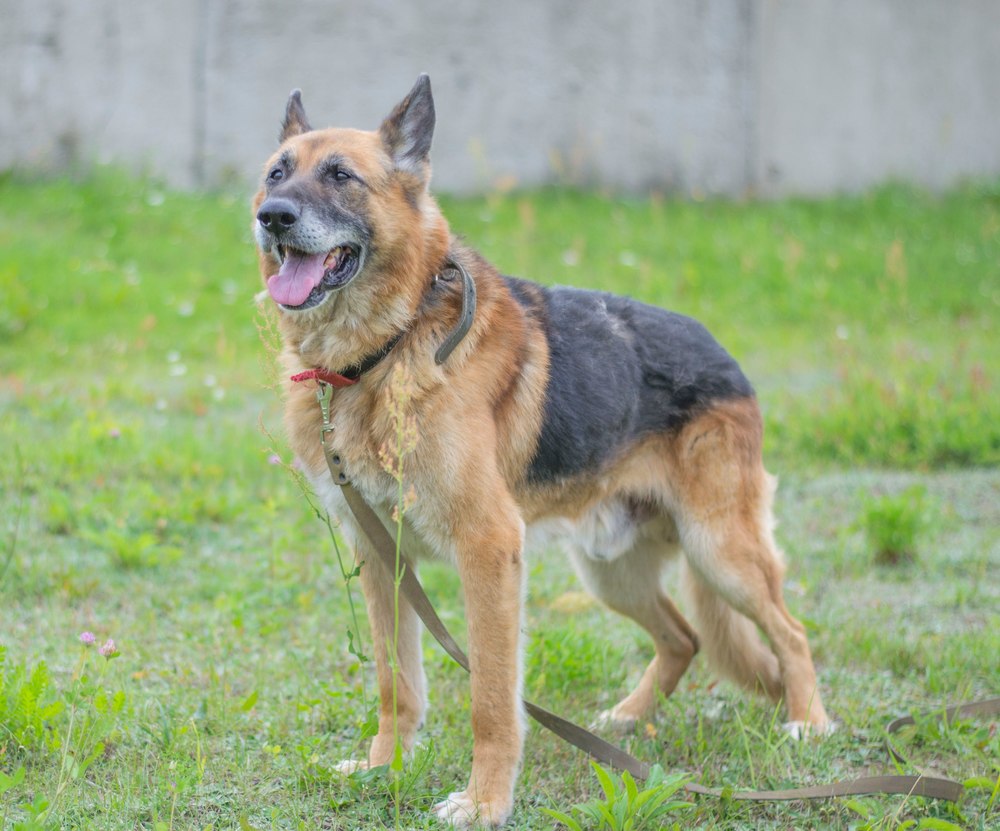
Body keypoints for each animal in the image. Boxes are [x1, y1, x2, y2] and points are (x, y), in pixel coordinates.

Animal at [254, 76, 832, 824]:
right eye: (276, 173)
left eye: (340, 176)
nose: (272, 217)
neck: (386, 351)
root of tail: (724, 356)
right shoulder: (382, 558)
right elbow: (395, 681)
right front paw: (386, 767)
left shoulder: (489, 550)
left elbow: (492, 700)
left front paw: (484, 803)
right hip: (610, 570)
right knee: (685, 636)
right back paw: (629, 719)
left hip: (720, 550)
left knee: (790, 631)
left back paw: (808, 719)